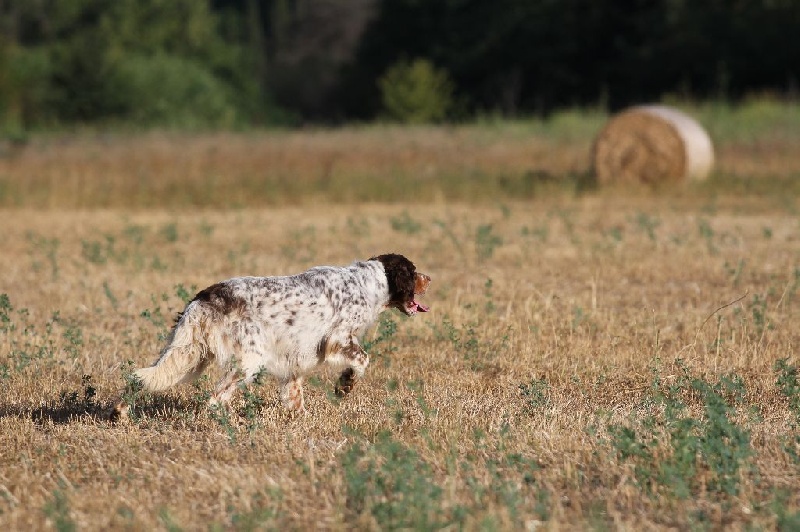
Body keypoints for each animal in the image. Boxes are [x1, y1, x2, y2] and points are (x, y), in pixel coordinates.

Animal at [111, 255, 432, 420]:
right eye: (414, 271)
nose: (430, 278)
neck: (367, 282)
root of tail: (204, 296)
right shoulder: (339, 339)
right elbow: (362, 360)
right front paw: (345, 385)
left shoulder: (295, 360)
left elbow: (295, 396)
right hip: (248, 361)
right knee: (215, 399)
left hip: (187, 354)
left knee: (142, 377)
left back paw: (120, 411)